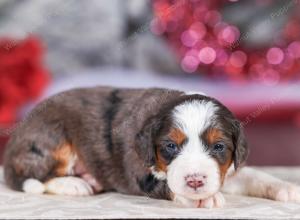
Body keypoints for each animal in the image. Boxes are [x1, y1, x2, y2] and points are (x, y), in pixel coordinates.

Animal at [4, 86, 300, 208]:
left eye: (218, 146)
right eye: (170, 146)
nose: (195, 181)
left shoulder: (225, 171)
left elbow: (252, 175)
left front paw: (286, 188)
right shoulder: (141, 172)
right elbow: (167, 185)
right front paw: (204, 198)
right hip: (54, 136)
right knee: (31, 175)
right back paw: (73, 184)